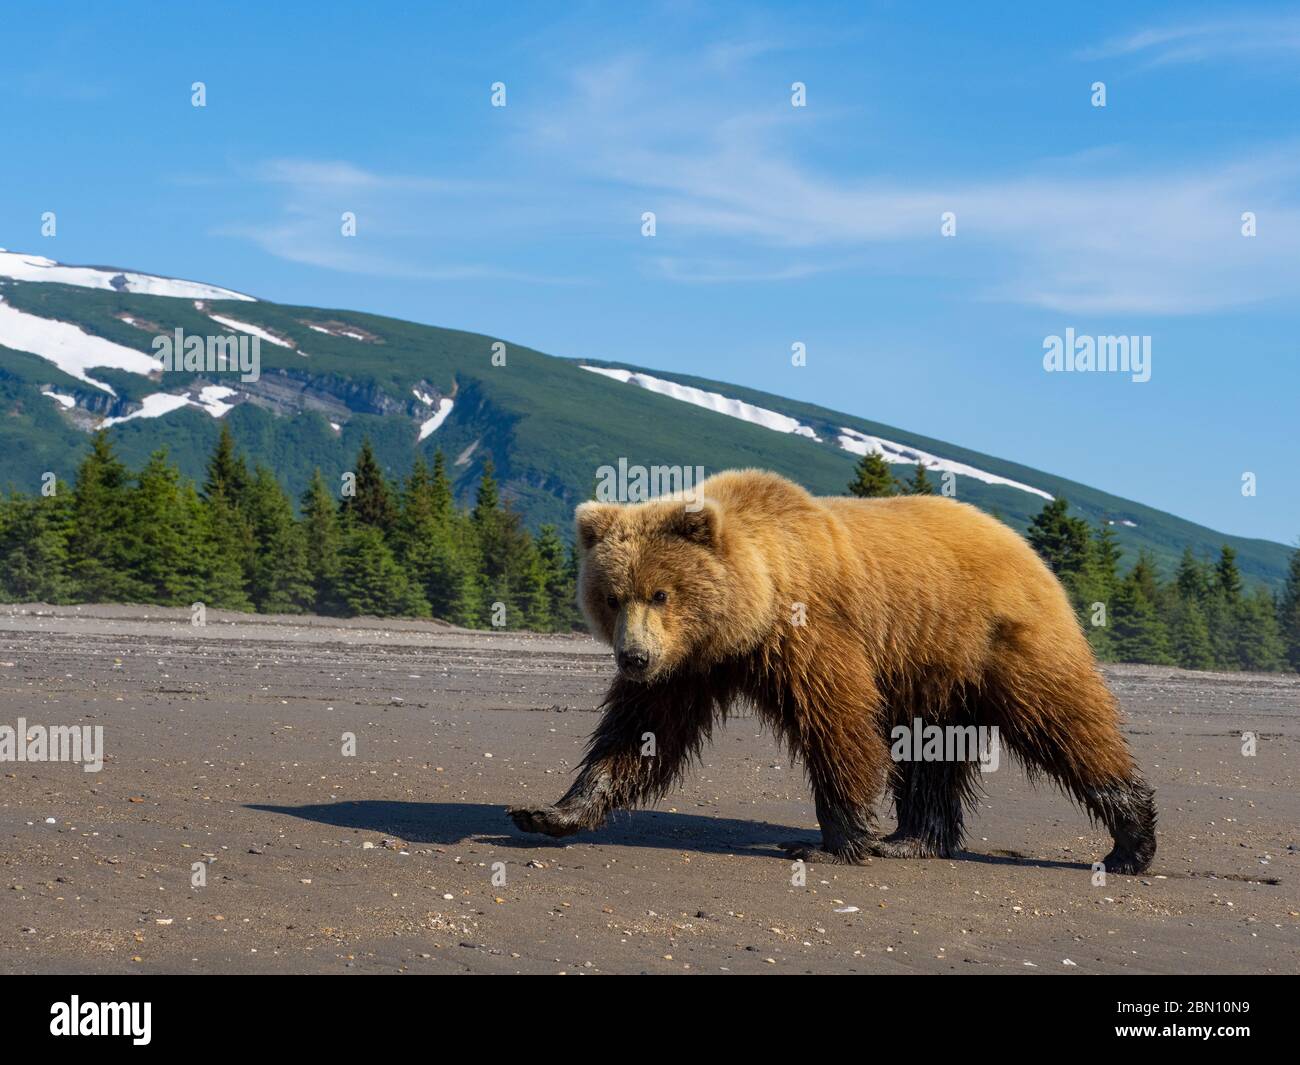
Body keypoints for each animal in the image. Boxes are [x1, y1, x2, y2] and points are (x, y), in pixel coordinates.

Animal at [508, 469, 1156, 874]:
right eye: (612, 596)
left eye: (661, 593)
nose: (633, 658)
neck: (752, 611)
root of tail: (1026, 547)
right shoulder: (690, 665)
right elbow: (639, 735)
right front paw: (548, 811)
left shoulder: (809, 630)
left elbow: (835, 722)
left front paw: (834, 841)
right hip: (934, 676)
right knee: (930, 755)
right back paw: (911, 841)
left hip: (995, 640)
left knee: (1066, 723)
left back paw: (1131, 841)